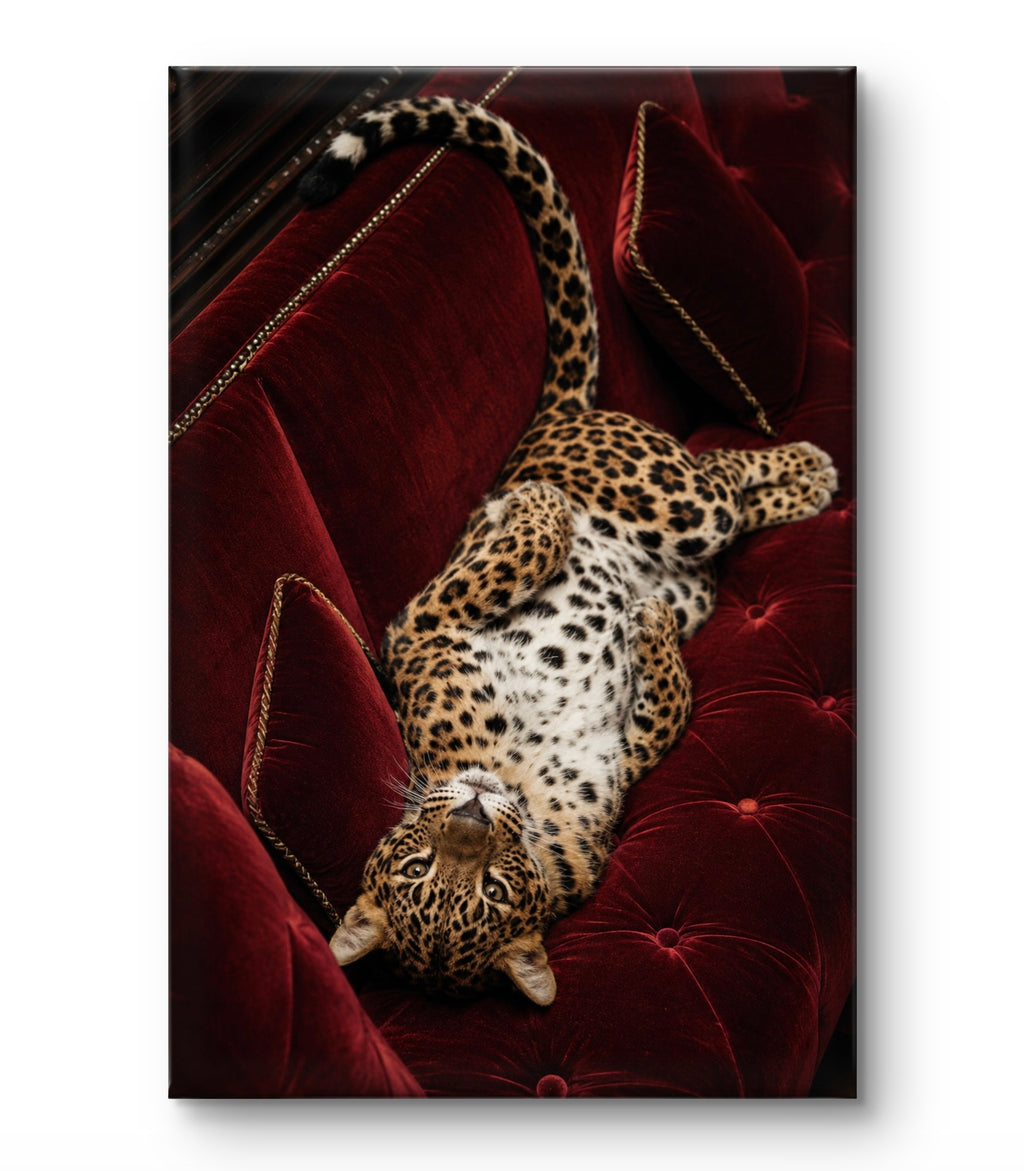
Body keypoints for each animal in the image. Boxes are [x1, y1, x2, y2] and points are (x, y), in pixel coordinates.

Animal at [299, 95, 837, 1005]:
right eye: (425, 875)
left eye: (473, 883)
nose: (472, 807)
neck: (514, 781)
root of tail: (552, 418)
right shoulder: (627, 760)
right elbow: (669, 702)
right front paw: (644, 625)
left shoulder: (420, 632)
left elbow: (481, 574)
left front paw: (538, 517)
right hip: (691, 550)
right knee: (728, 494)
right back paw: (804, 480)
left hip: (664, 494)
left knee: (721, 477)